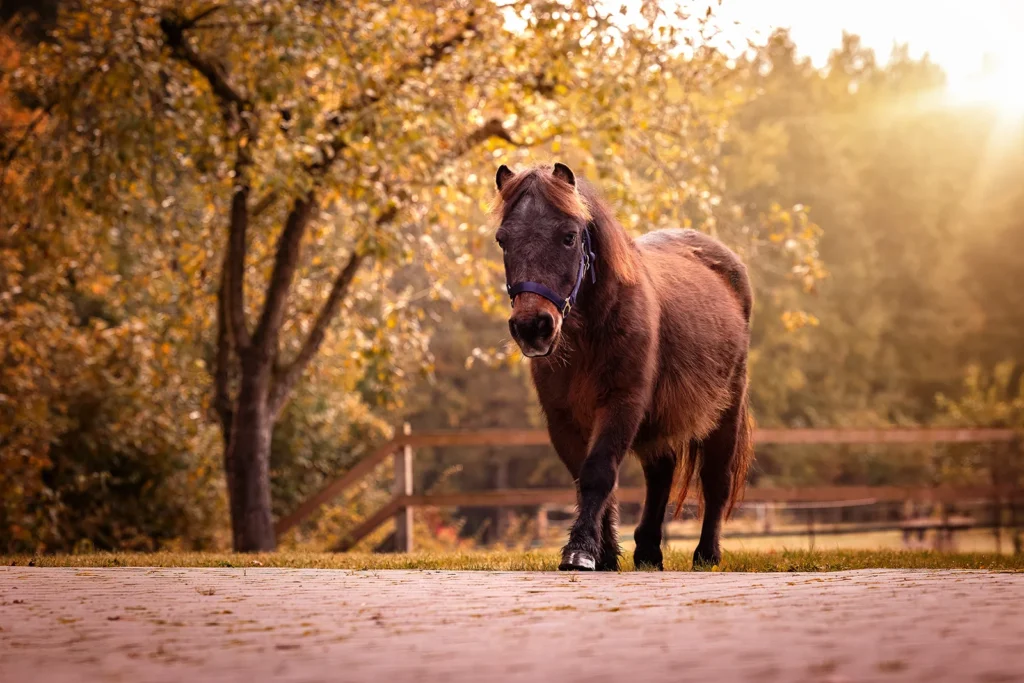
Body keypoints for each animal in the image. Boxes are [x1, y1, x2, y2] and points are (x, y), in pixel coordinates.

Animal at [492, 162, 754, 571]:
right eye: (503, 239)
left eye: (569, 237)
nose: (532, 327)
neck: (589, 336)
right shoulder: (562, 418)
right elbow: (586, 478)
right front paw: (605, 554)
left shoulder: (623, 402)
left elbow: (599, 472)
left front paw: (581, 550)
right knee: (661, 475)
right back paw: (647, 551)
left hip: (725, 412)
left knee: (716, 478)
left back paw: (706, 553)